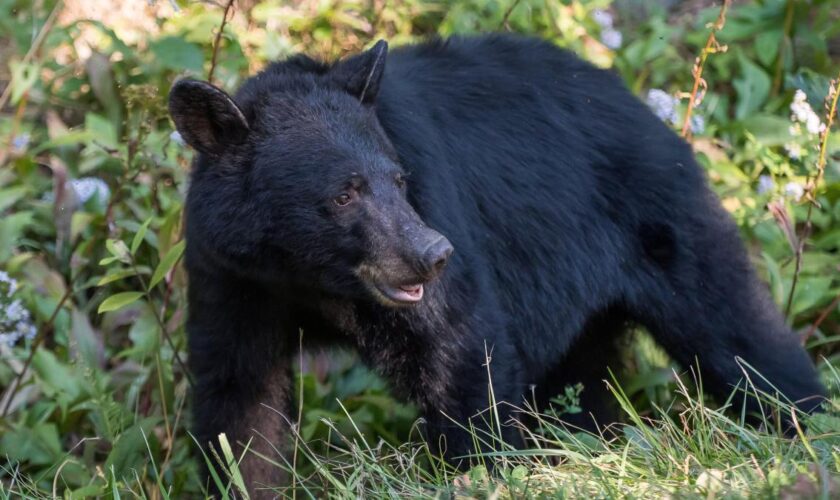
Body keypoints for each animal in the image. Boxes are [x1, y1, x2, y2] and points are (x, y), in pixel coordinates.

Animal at [169, 34, 828, 496]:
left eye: (398, 179)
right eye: (343, 194)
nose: (431, 254)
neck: (305, 278)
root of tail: (638, 101)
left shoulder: (437, 216)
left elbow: (461, 351)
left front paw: (481, 471)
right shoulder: (230, 276)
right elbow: (237, 399)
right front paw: (241, 478)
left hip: (661, 220)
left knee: (735, 333)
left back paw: (806, 426)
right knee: (583, 382)